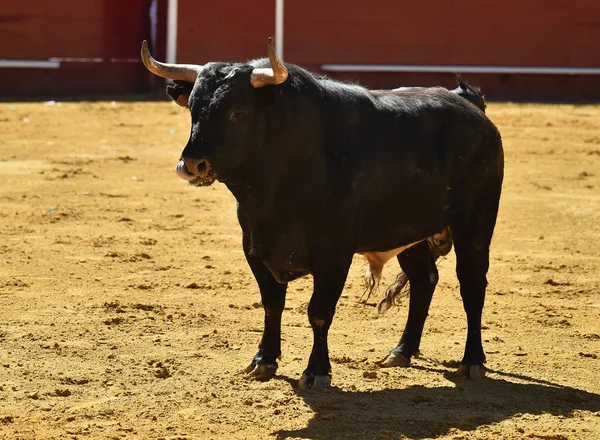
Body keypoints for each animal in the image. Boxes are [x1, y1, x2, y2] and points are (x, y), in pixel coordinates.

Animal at [141, 37, 502, 388]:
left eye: (238, 112)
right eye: (193, 108)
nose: (192, 164)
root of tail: (475, 110)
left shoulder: (334, 255)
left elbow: (319, 311)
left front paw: (317, 371)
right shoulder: (255, 248)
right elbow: (271, 304)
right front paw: (263, 361)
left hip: (475, 225)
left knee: (472, 285)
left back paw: (472, 362)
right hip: (410, 231)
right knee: (424, 279)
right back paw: (401, 351)